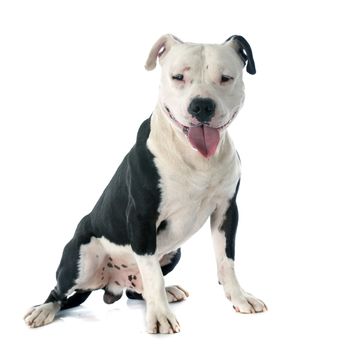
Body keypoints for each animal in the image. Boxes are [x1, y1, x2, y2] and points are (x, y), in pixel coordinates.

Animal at [23, 34, 266, 332]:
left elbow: (226, 260)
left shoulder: (226, 211)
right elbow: (152, 275)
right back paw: (43, 310)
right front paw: (160, 316)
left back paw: (168, 291)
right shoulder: (142, 219)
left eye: (225, 78)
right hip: (79, 260)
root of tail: (112, 285)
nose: (202, 105)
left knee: (137, 290)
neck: (195, 157)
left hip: (174, 253)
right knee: (59, 292)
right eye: (178, 77)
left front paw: (240, 298)